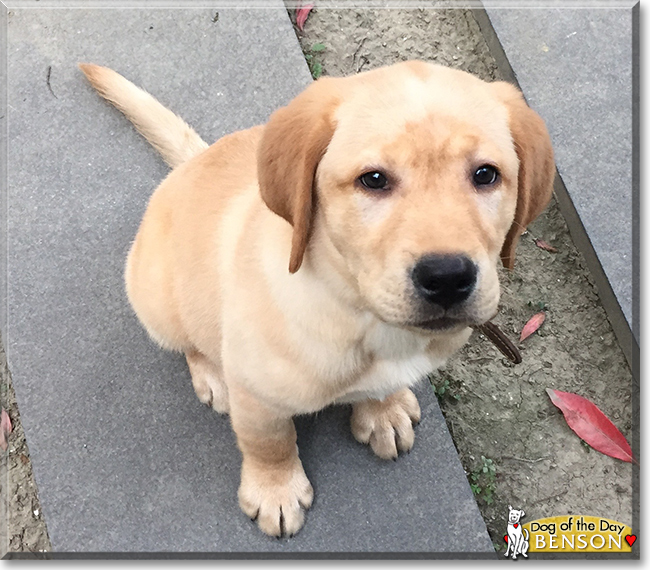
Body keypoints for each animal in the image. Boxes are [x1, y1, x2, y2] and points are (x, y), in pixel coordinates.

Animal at [81, 60, 552, 536]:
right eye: (373, 180)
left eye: (486, 175)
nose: (448, 278)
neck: (364, 320)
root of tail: (194, 159)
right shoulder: (259, 397)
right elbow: (269, 442)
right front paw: (275, 491)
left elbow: (381, 388)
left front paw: (383, 410)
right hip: (156, 299)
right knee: (189, 341)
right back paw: (213, 375)